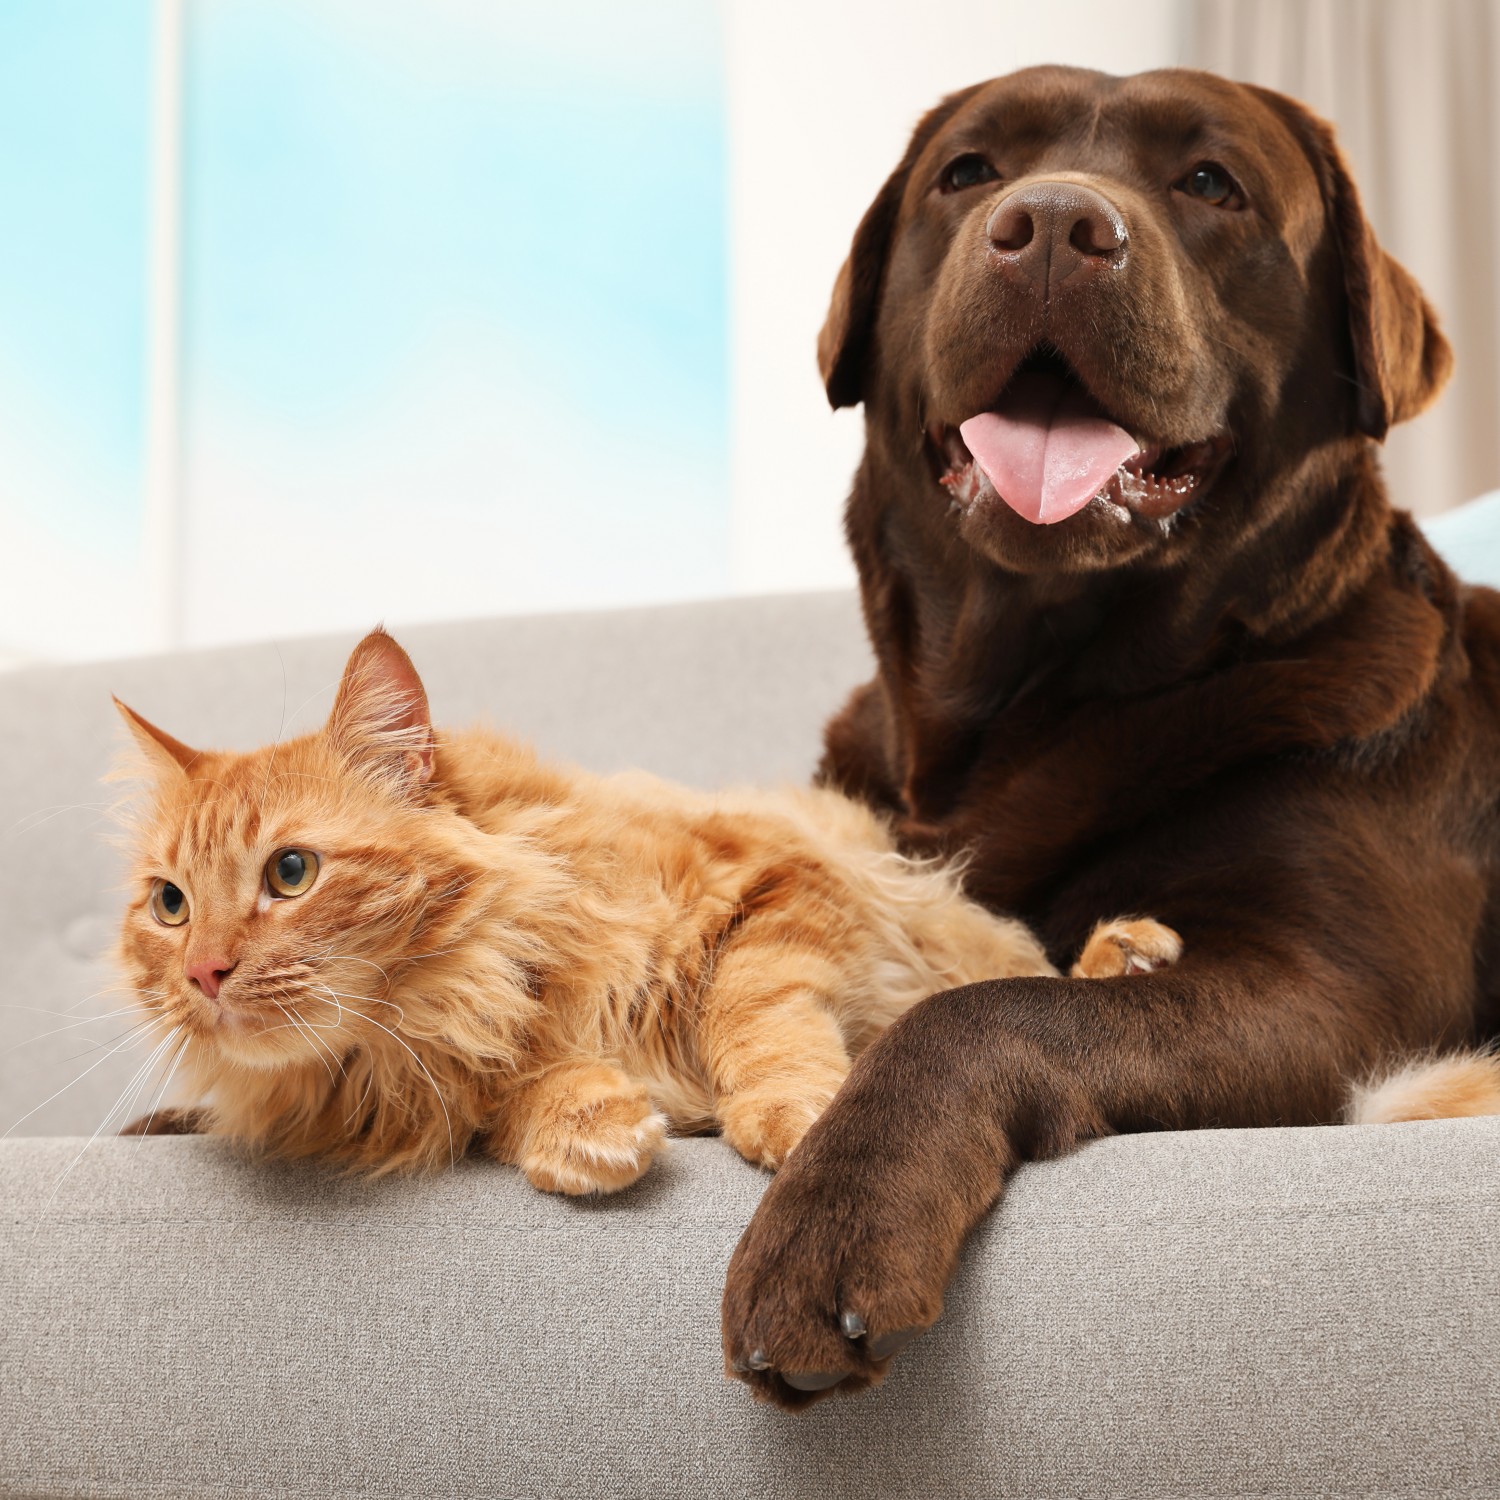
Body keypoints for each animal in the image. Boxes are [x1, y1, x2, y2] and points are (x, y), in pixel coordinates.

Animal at [111, 627, 1176, 1188]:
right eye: (170, 905)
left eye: (291, 872)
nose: (202, 971)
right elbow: (507, 1108)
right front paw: (584, 1124)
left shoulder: (782, 886)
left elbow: (753, 1013)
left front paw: (794, 1114)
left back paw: (1129, 953)